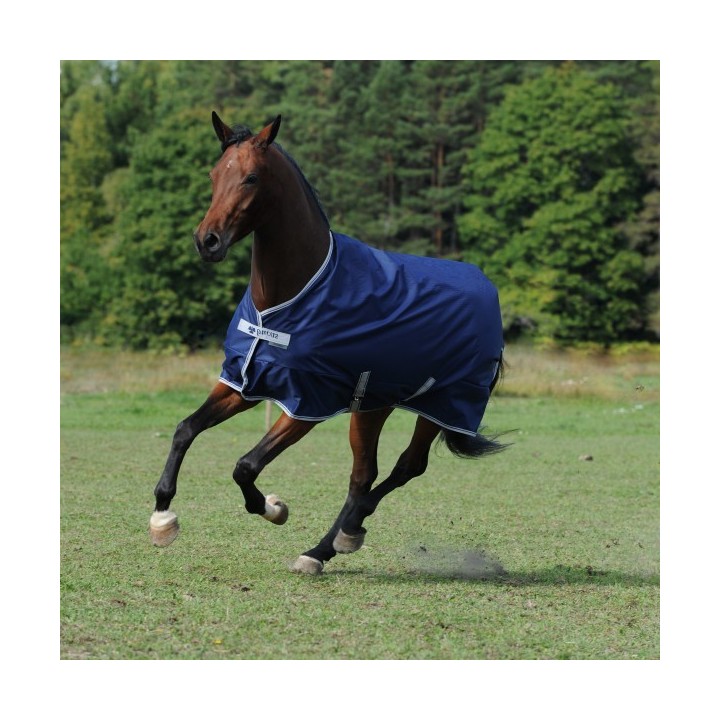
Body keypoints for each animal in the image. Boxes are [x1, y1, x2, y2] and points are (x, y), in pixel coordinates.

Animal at [149, 112, 506, 575]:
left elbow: (245, 466)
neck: (289, 295)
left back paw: (339, 538)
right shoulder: (243, 383)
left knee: (405, 466)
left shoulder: (307, 405)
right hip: (373, 405)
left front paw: (274, 508)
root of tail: (487, 287)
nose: (207, 241)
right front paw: (162, 517)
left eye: (251, 177)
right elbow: (185, 429)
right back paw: (328, 545)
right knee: (364, 474)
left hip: (441, 405)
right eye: (213, 175)